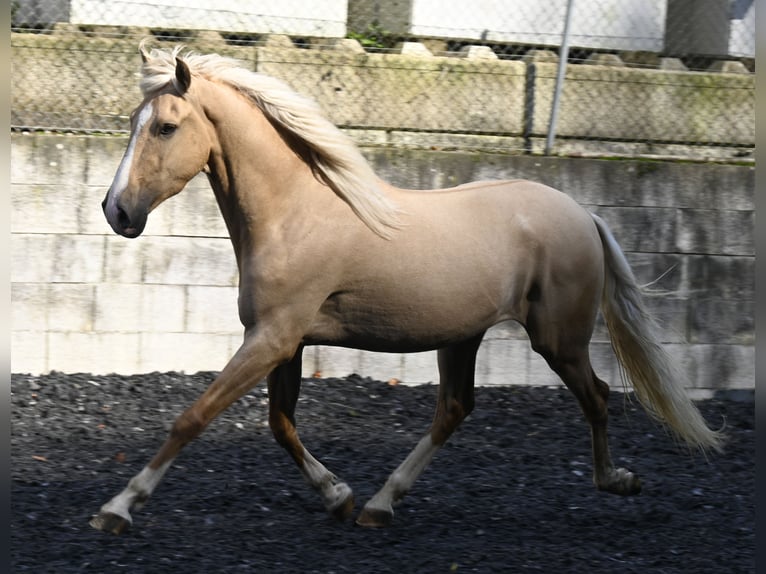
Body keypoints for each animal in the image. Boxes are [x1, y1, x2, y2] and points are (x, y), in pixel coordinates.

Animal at [90, 45, 720, 536]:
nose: (116, 212)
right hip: (463, 336)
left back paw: (618, 480)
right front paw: (339, 496)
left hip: (557, 339)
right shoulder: (283, 343)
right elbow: (280, 424)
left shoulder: (272, 338)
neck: (295, 213)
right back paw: (378, 504)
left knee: (597, 396)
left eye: (166, 126)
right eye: (133, 121)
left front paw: (117, 508)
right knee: (455, 409)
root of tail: (584, 214)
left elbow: (193, 417)